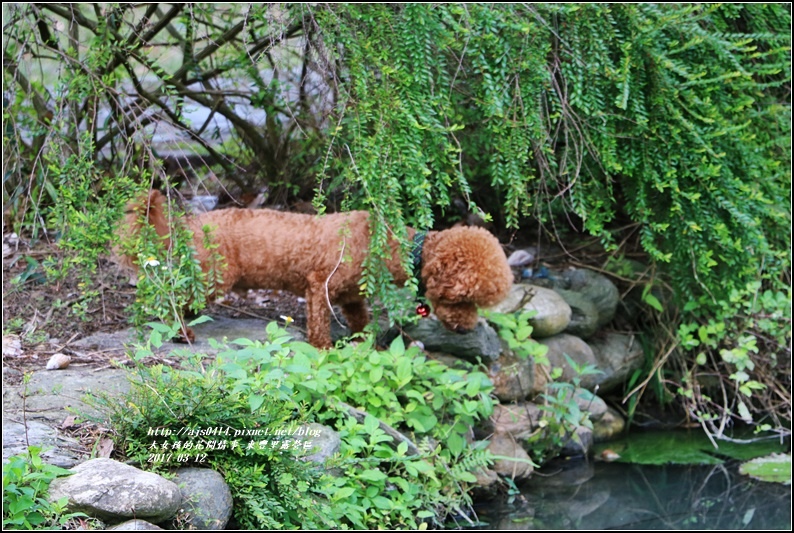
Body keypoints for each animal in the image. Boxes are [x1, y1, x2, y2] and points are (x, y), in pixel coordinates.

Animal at [116, 189, 512, 348]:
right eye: (463, 299)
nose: (467, 329)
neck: (386, 246)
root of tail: (190, 225)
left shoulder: (351, 297)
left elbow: (361, 322)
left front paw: (366, 344)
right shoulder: (319, 286)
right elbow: (320, 329)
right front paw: (324, 350)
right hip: (214, 278)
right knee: (171, 301)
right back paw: (182, 332)